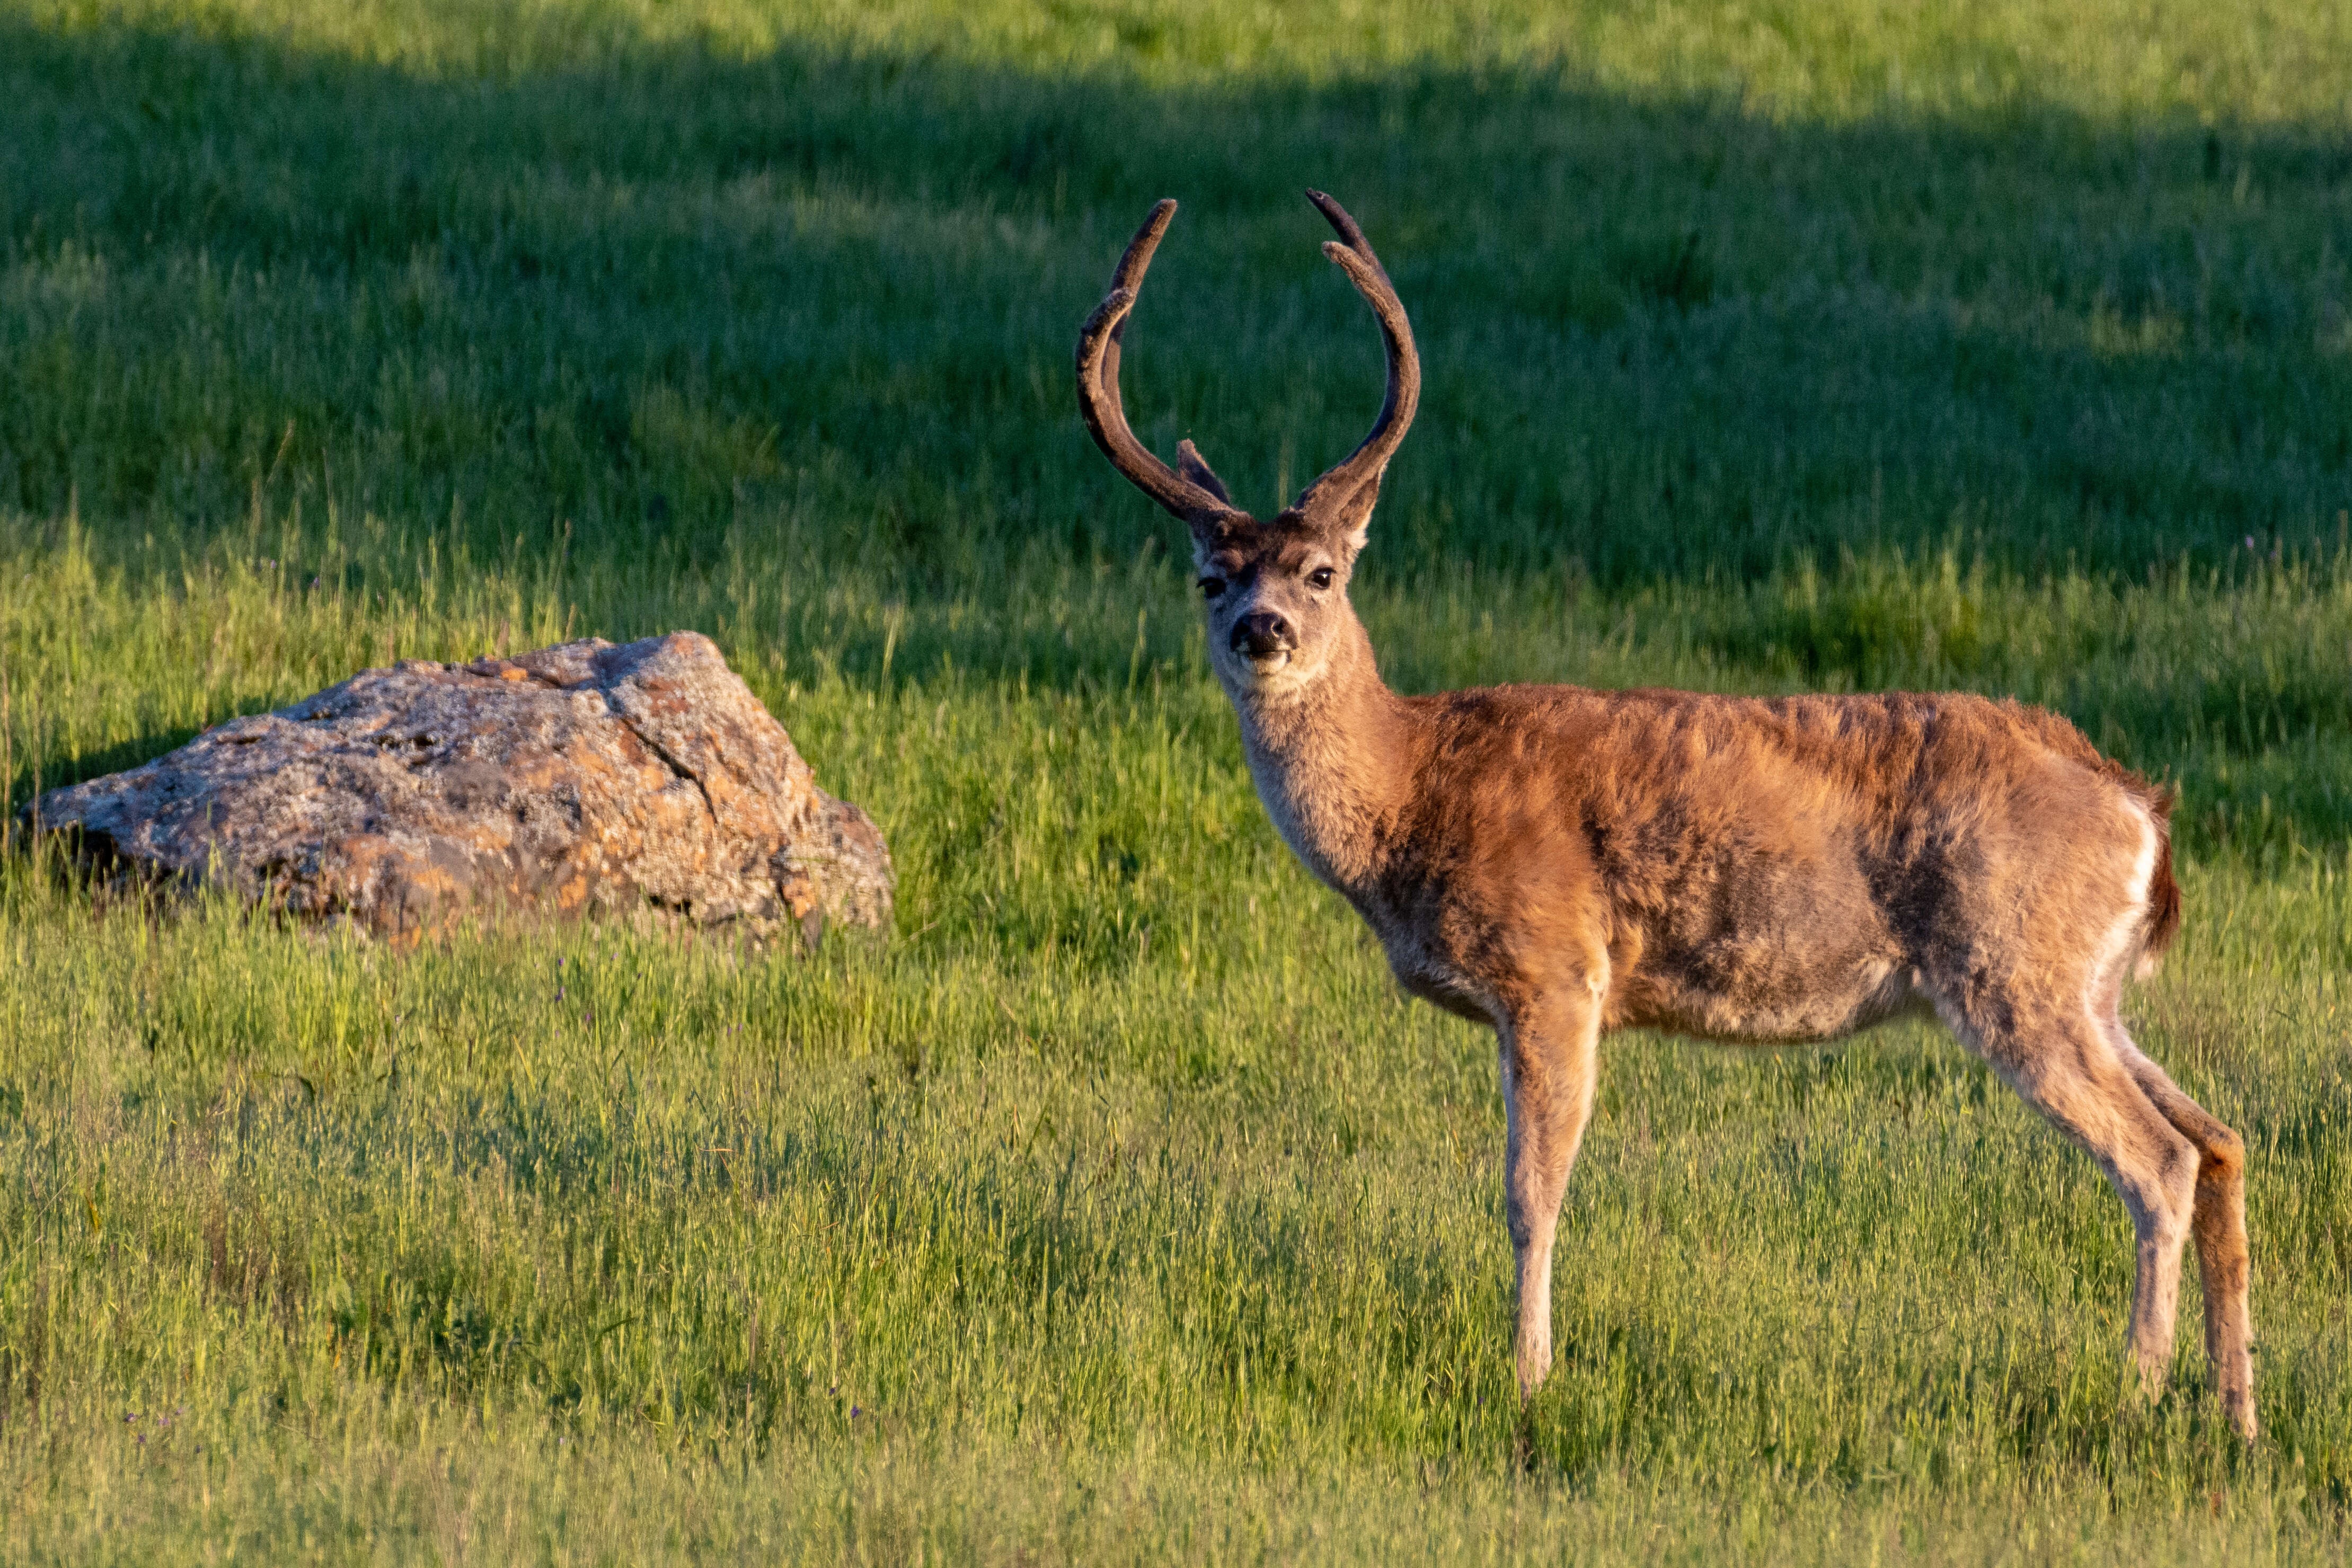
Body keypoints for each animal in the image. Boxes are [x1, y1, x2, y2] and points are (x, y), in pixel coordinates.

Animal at [1077, 196, 2258, 1448]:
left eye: (1320, 571)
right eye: (1209, 578)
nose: (1261, 630)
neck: (1414, 783)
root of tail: (2140, 810)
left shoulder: (1554, 967)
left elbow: (1529, 1191)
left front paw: (1529, 1379)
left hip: (2009, 964)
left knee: (2156, 1158)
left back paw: (2133, 1391)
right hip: (2087, 983)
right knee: (2216, 1137)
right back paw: (2233, 1410)